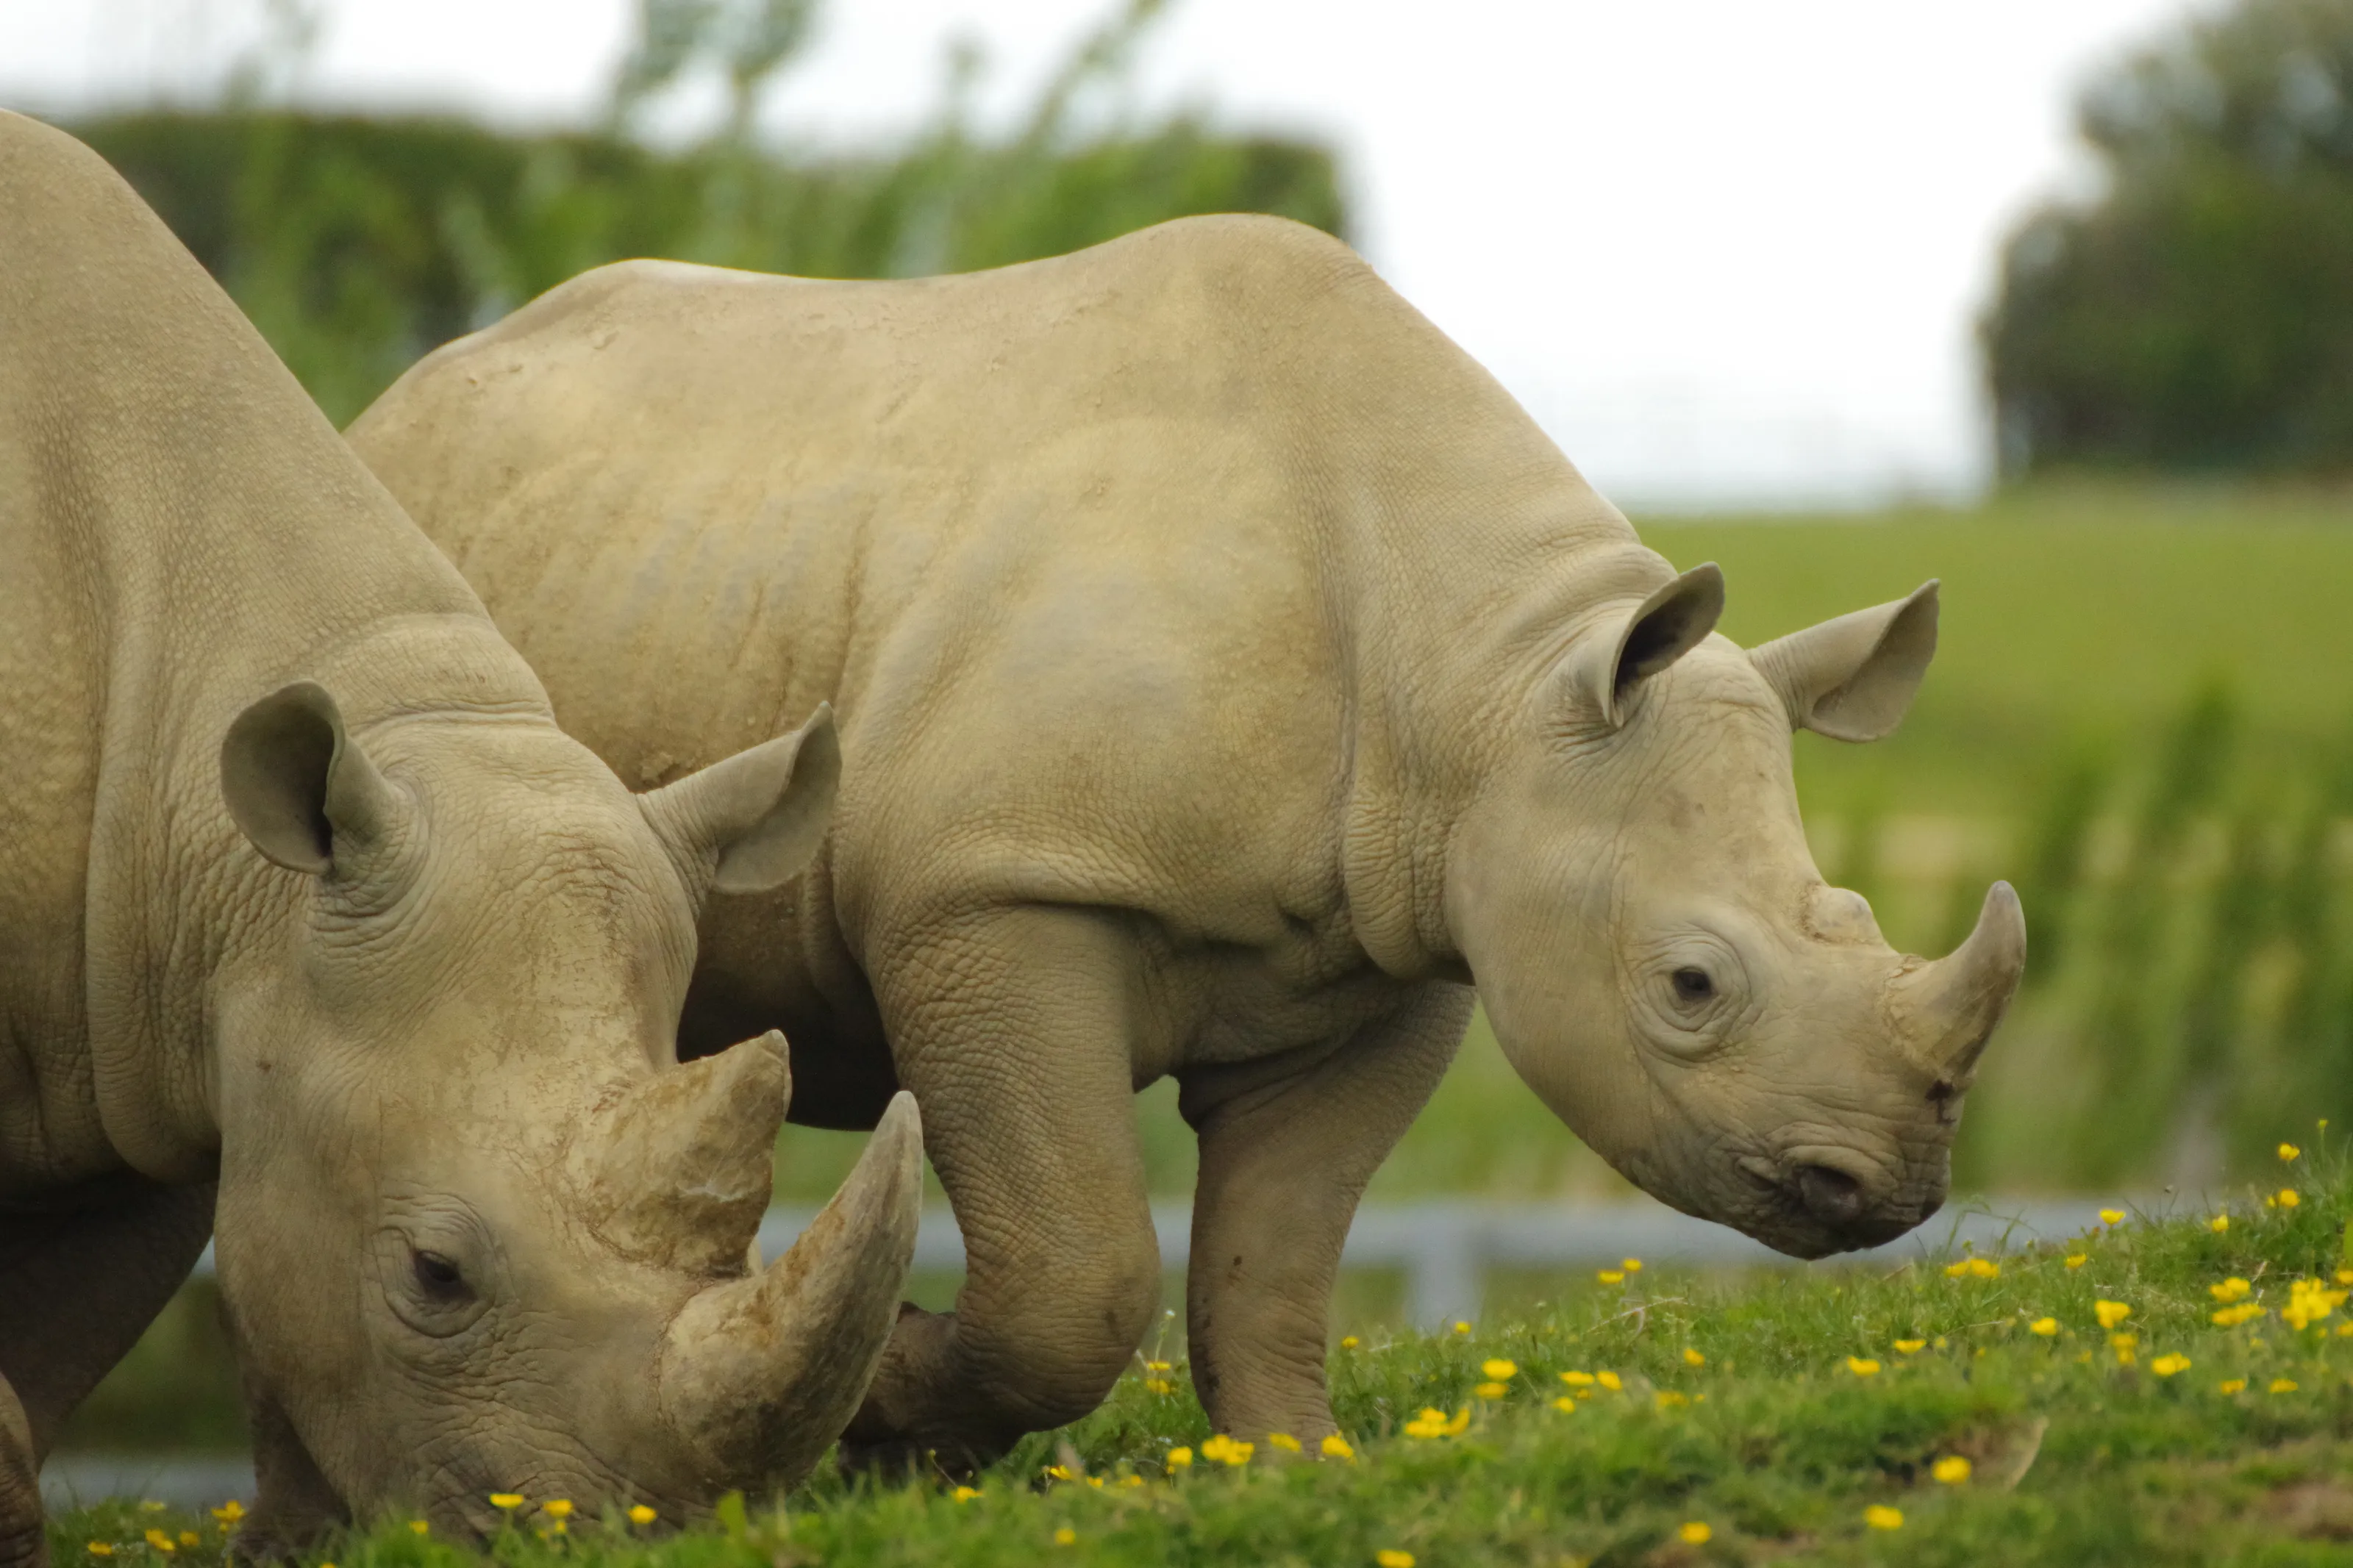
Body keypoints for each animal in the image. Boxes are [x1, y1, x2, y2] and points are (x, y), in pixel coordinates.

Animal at [349, 214, 2028, 1470]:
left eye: (1860, 910)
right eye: (1690, 985)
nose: (1885, 1183)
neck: (1484, 677)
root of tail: (397, 398)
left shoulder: (1395, 940)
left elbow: (1275, 1257)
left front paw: (1289, 1467)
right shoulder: (993, 889)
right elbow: (1080, 1267)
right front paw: (888, 1416)